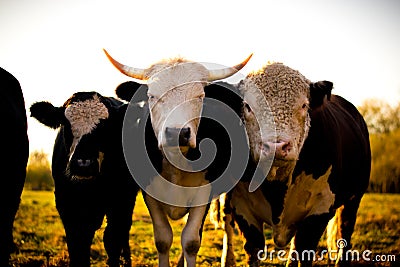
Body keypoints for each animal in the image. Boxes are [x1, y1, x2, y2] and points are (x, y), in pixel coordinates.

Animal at [29, 91, 140, 267]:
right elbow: (78, 243)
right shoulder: (66, 203)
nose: (83, 163)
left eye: (105, 126)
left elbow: (112, 240)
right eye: (66, 124)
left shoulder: (121, 201)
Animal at [104, 49, 252, 266]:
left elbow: (191, 240)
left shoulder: (204, 191)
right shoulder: (149, 190)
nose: (177, 132)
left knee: (226, 219)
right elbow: (163, 239)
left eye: (200, 96)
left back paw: (228, 258)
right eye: (152, 96)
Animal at [216, 63, 372, 267]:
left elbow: (305, 249)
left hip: (354, 199)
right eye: (248, 107)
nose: (276, 146)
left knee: (344, 231)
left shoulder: (320, 210)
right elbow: (254, 249)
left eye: (304, 105)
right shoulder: (242, 208)